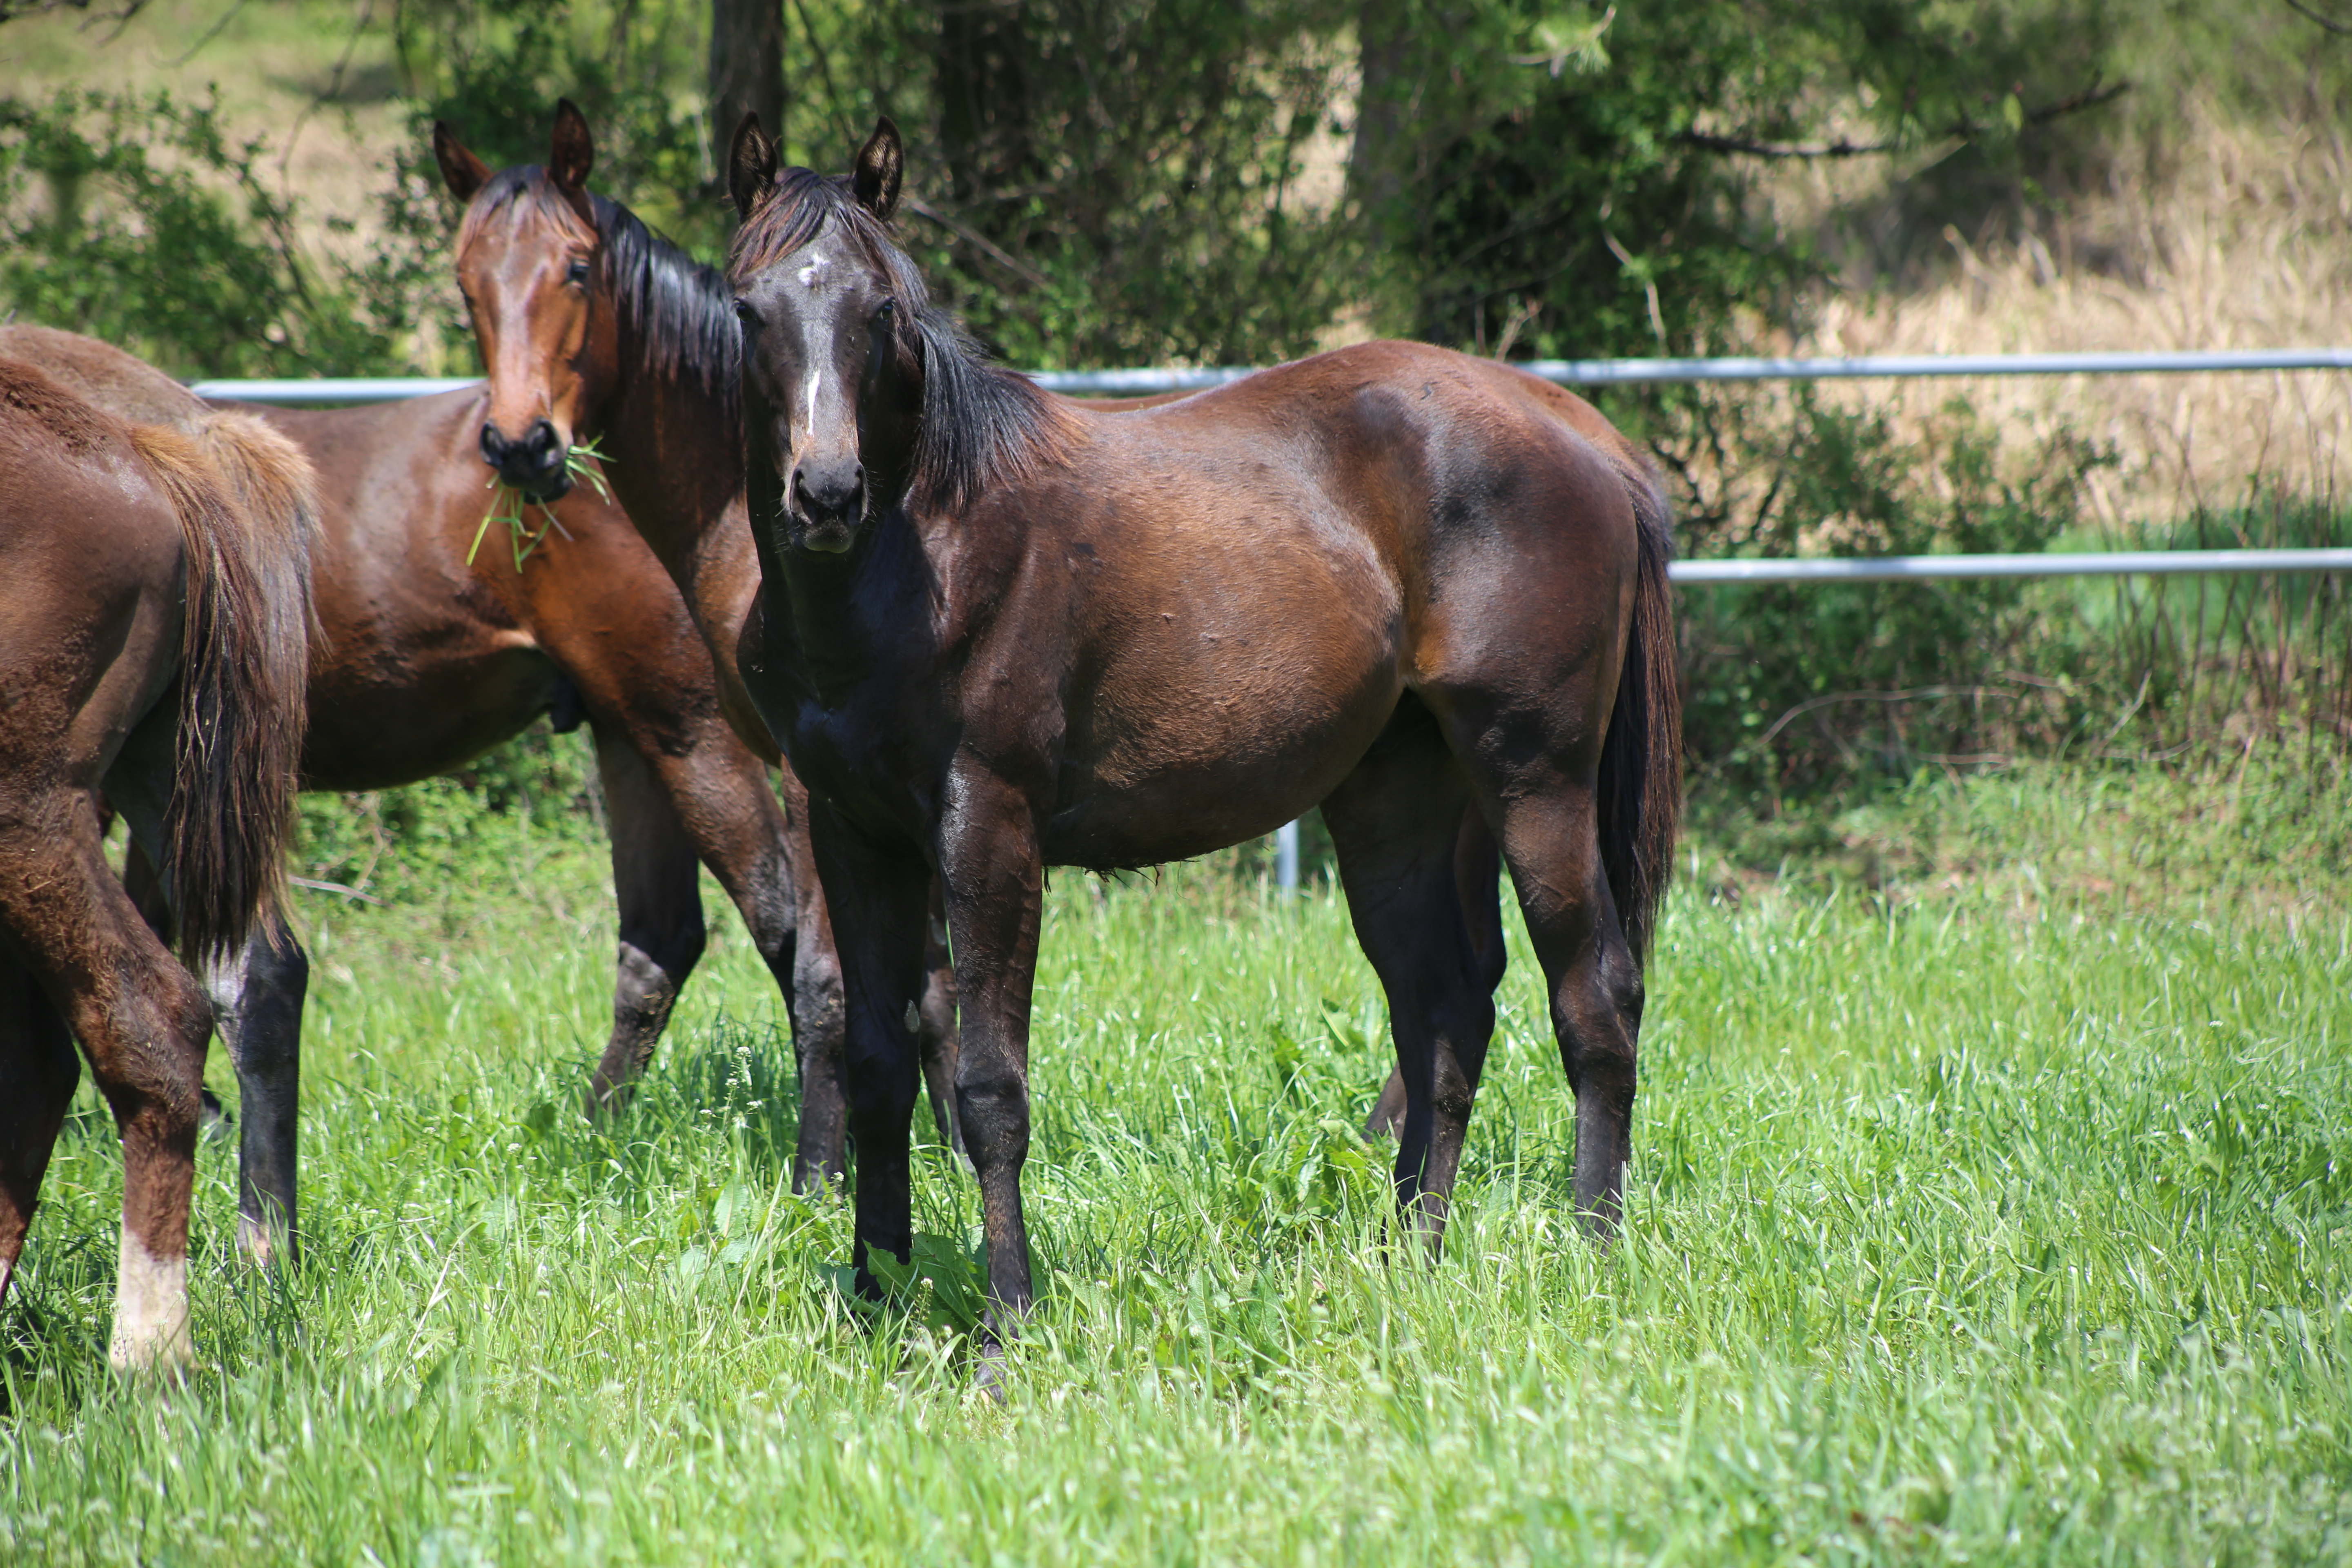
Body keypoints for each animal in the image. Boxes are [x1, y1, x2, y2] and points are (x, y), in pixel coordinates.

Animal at [437, 101, 960, 1166]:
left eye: (577, 270)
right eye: (468, 284)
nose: (522, 444)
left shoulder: (799, 771)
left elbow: (823, 975)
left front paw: (820, 1175)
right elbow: (914, 982)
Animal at [724, 116, 1684, 1354]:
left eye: (882, 306)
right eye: (750, 306)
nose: (828, 493)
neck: (923, 557)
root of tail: (1587, 435)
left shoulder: (989, 829)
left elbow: (990, 1088)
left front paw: (1004, 1331)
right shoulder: (855, 833)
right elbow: (881, 1066)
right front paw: (876, 1301)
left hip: (1536, 780)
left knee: (1593, 999)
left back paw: (1591, 1255)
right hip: (1397, 802)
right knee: (1443, 1012)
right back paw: (1411, 1257)